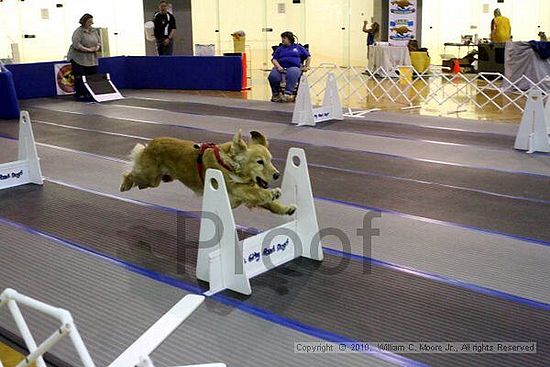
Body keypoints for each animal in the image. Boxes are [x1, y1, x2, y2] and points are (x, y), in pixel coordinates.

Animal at [120, 131, 298, 216]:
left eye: (271, 160)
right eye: (259, 162)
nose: (277, 175)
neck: (231, 164)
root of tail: (152, 143)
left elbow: (264, 199)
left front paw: (285, 208)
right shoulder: (231, 189)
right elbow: (254, 191)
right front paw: (272, 192)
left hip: (156, 180)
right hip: (149, 177)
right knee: (132, 173)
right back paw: (124, 185)